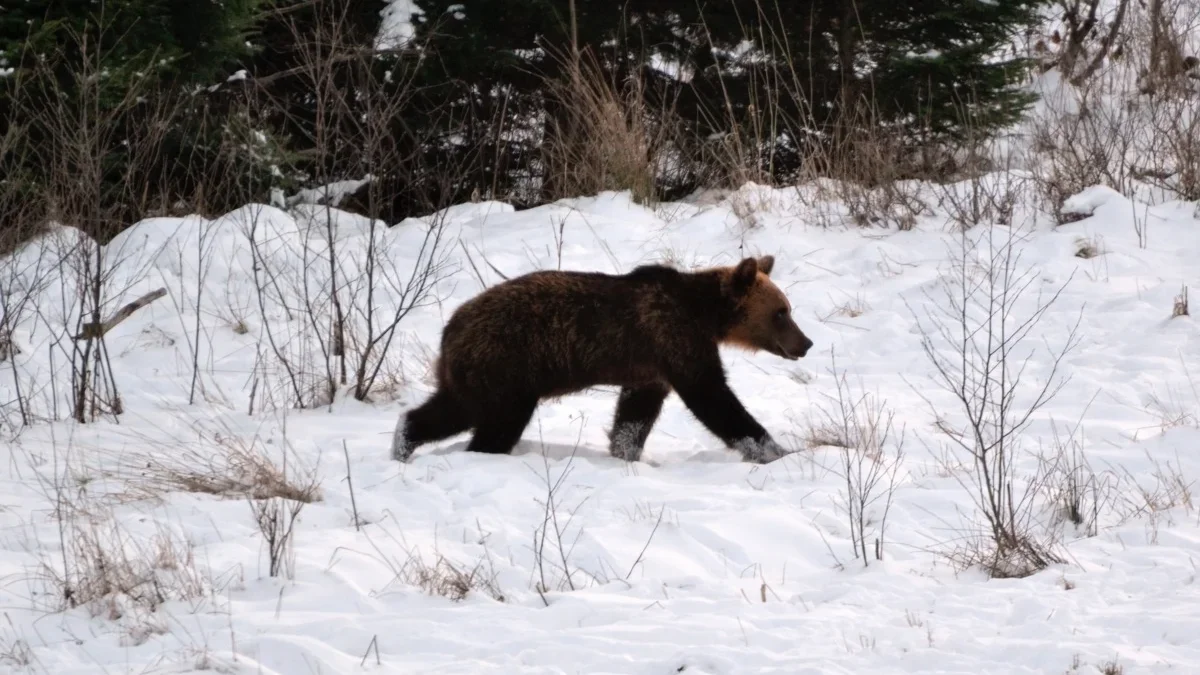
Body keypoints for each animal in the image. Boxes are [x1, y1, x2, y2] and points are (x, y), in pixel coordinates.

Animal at [388, 252, 811, 461]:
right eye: (781, 312)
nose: (805, 343)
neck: (704, 313)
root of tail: (449, 328)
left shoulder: (650, 368)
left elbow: (634, 416)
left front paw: (625, 453)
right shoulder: (674, 338)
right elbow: (714, 398)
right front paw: (775, 451)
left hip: (475, 372)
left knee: (449, 409)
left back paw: (403, 442)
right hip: (505, 365)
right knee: (496, 421)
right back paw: (483, 453)